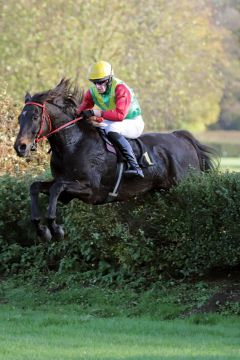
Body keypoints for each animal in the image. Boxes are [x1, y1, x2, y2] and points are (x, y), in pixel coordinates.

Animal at [14, 79, 218, 242]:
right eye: (19, 118)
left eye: (35, 116)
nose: (20, 147)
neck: (73, 144)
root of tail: (181, 137)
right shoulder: (66, 189)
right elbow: (36, 187)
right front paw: (42, 229)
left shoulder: (90, 189)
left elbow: (56, 188)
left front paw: (55, 229)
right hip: (161, 191)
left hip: (184, 185)